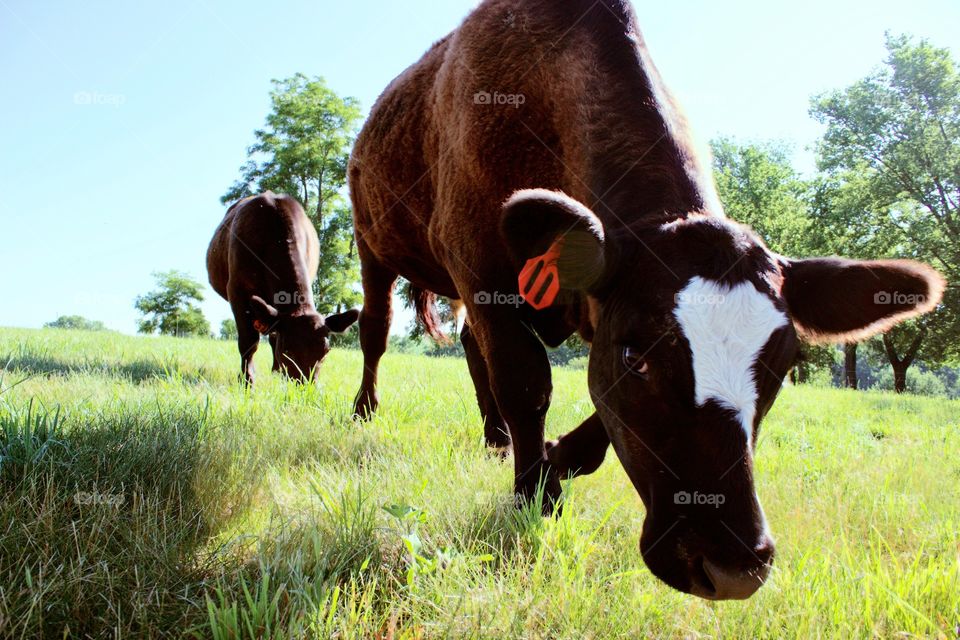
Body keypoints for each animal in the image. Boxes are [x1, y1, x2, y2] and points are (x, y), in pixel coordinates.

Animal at [207, 192, 360, 382]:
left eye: (325, 352)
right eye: (287, 351)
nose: (305, 386)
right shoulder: (237, 291)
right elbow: (248, 342)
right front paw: (247, 380)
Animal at [346, 0, 944, 600]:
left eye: (780, 366)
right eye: (638, 357)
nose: (732, 566)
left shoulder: (593, 311)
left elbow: (597, 420)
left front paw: (554, 460)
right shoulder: (480, 270)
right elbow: (526, 385)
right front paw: (533, 497)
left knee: (471, 346)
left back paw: (496, 440)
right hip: (371, 242)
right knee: (376, 330)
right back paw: (365, 411)